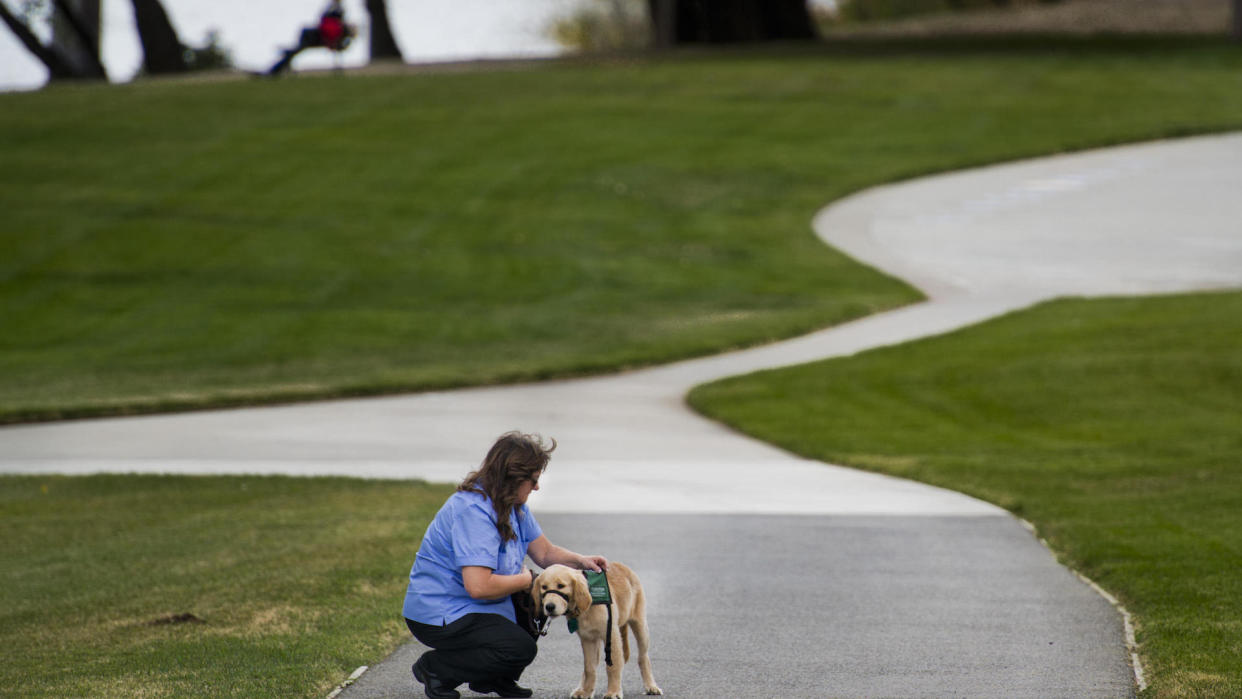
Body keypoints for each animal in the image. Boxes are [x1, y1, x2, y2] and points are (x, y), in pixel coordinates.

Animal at [539, 563, 665, 699]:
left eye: (561, 586)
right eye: (543, 587)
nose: (549, 607)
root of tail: (622, 566)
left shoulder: (611, 635)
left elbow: (613, 666)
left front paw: (613, 692)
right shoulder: (588, 639)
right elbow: (589, 668)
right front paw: (586, 692)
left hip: (640, 626)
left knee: (643, 657)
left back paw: (651, 686)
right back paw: (581, 689)